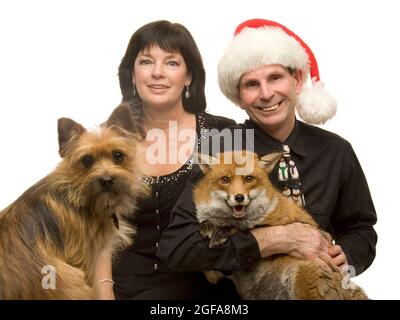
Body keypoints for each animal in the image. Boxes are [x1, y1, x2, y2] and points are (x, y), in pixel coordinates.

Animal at [192, 151, 368, 300]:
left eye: (249, 179)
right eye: (225, 180)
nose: (239, 197)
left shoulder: (294, 224)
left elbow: (250, 228)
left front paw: (222, 231)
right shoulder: (214, 275)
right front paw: (208, 225)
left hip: (303, 273)